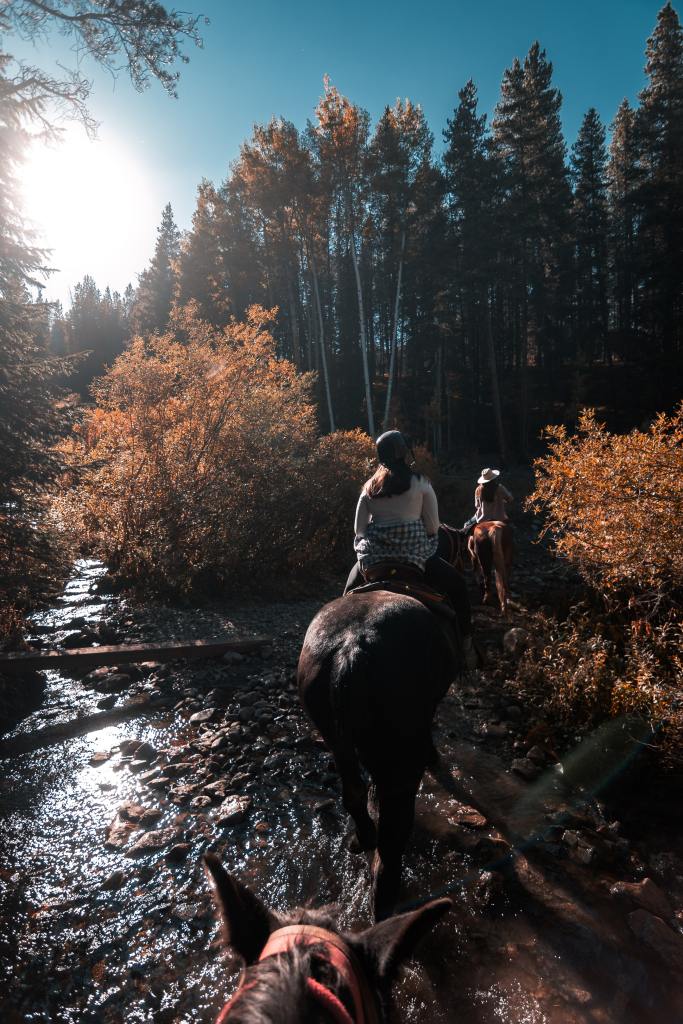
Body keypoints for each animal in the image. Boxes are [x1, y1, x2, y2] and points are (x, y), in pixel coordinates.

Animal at [296, 528, 462, 921]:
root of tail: (350, 649)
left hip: (336, 739)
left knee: (354, 793)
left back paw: (361, 839)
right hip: (399, 760)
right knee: (391, 840)